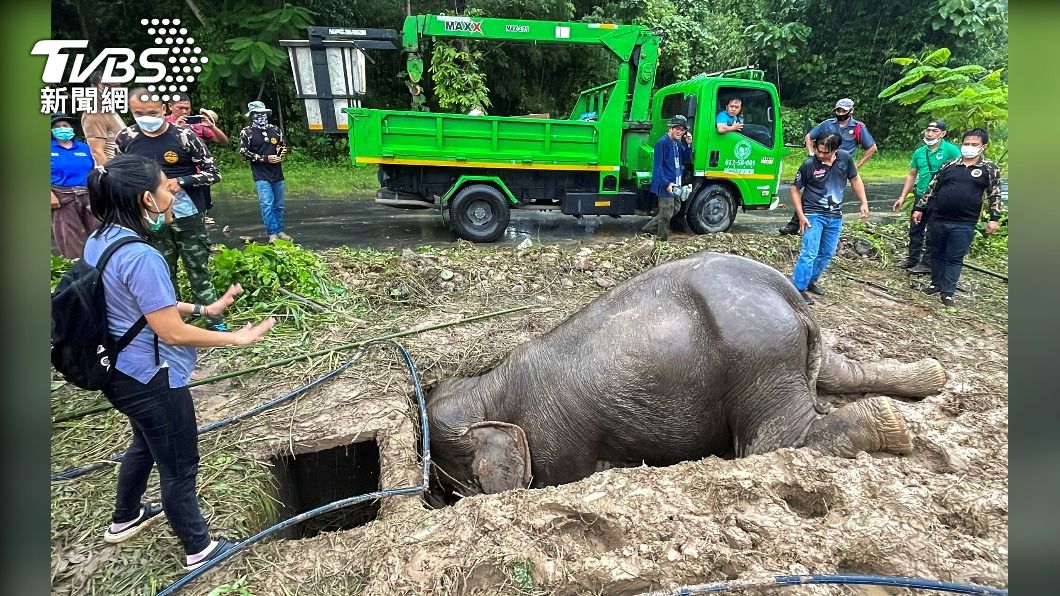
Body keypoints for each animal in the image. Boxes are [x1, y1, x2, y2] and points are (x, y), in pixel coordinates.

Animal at [427, 251, 946, 495]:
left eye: (454, 485)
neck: (489, 387)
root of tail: (788, 292)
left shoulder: (558, 443)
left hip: (760, 361)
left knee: (771, 443)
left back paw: (893, 425)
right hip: (788, 350)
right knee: (841, 373)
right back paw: (932, 378)